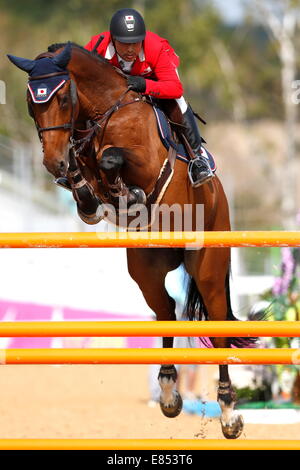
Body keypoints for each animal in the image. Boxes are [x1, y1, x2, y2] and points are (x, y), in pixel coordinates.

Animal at [8, 42, 254, 438]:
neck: (106, 110)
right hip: (146, 268)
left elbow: (112, 158)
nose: (51, 162)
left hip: (209, 266)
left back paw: (229, 413)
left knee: (216, 325)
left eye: (62, 98)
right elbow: (86, 175)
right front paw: (89, 196)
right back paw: (168, 393)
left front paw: (128, 192)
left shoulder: (145, 161)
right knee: (166, 311)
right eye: (32, 102)